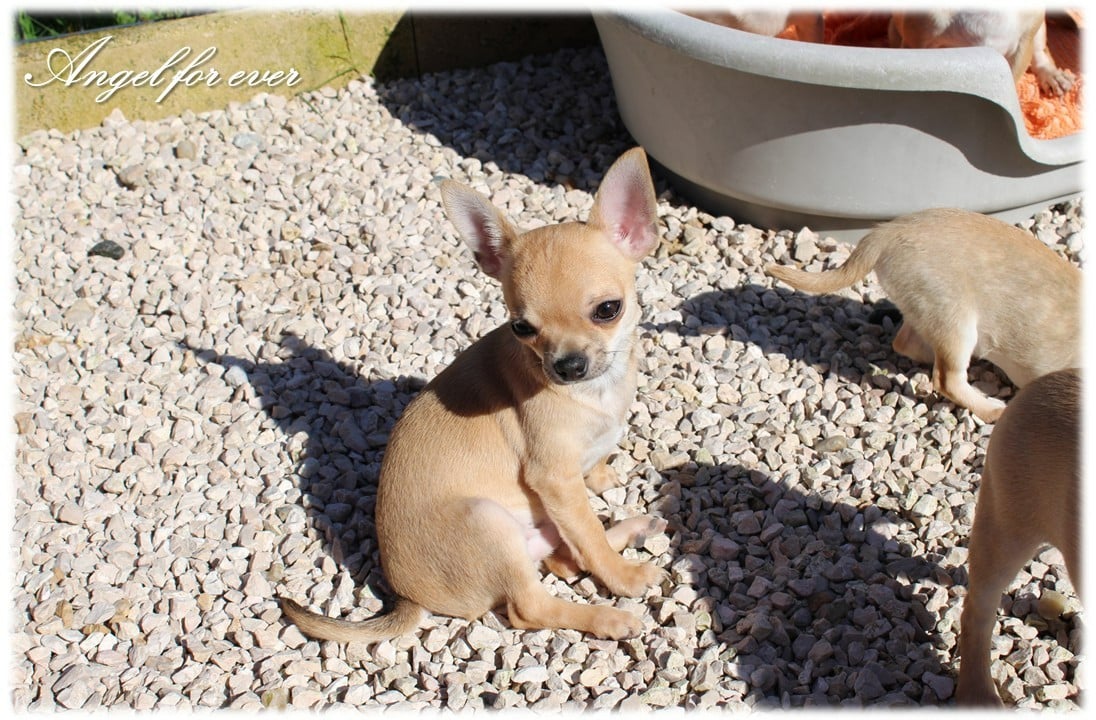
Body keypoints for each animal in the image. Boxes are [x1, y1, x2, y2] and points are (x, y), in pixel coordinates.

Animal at [280, 147, 667, 642]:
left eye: (608, 310)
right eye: (521, 328)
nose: (567, 366)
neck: (597, 391)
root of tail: (405, 597)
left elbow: (589, 504)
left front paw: (602, 476)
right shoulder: (553, 479)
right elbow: (589, 538)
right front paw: (622, 577)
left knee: (562, 558)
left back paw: (636, 527)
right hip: (487, 522)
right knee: (533, 602)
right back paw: (609, 615)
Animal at [765, 208, 1081, 422]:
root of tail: (888, 230)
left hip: (930, 308)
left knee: (907, 342)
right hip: (955, 319)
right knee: (946, 379)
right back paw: (990, 408)